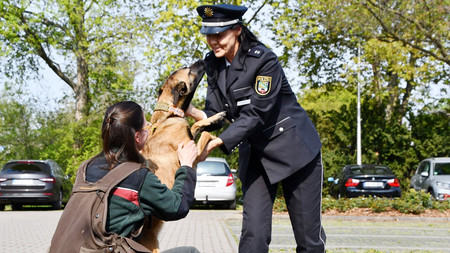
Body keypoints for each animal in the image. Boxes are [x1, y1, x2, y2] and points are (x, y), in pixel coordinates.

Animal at [140, 60, 224, 252]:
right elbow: (205, 134)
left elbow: (196, 126)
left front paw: (213, 119)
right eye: (188, 70)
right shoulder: (193, 155)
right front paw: (216, 126)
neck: (167, 116)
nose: (202, 59)